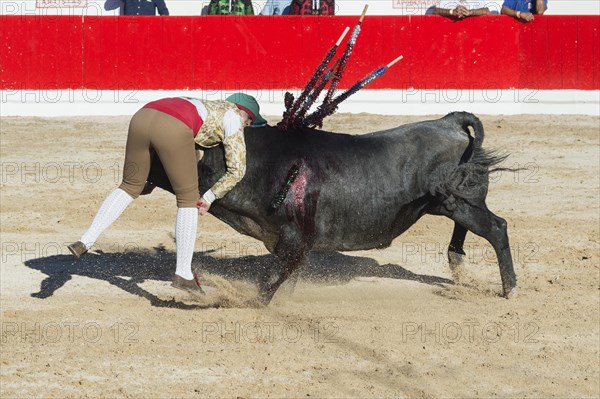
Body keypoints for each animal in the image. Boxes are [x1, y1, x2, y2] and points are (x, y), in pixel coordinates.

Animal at [145, 111, 516, 304]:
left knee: (497, 228)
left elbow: (270, 283)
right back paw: (457, 264)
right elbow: (285, 277)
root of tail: (450, 121)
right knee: (471, 227)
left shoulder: (297, 239)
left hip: (460, 203)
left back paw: (509, 288)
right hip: (453, 202)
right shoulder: (289, 244)